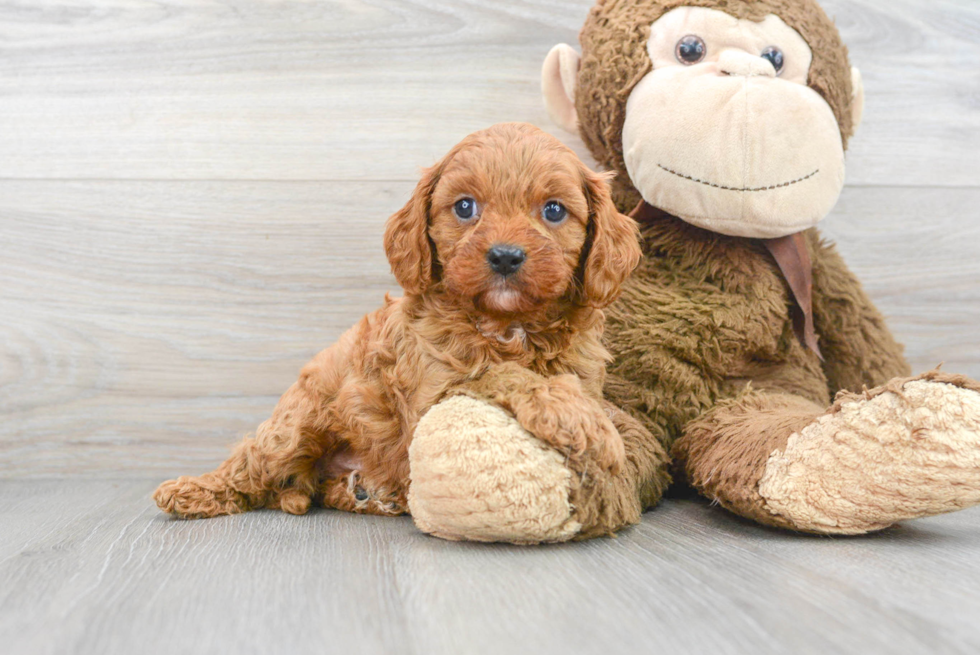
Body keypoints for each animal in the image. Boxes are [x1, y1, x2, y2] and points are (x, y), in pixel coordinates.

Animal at [153, 123, 644, 520]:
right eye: (465, 207)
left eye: (554, 210)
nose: (505, 256)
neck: (509, 323)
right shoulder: (433, 394)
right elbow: (500, 373)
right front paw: (577, 418)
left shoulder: (581, 370)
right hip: (295, 426)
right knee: (250, 466)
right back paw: (191, 491)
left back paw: (370, 494)